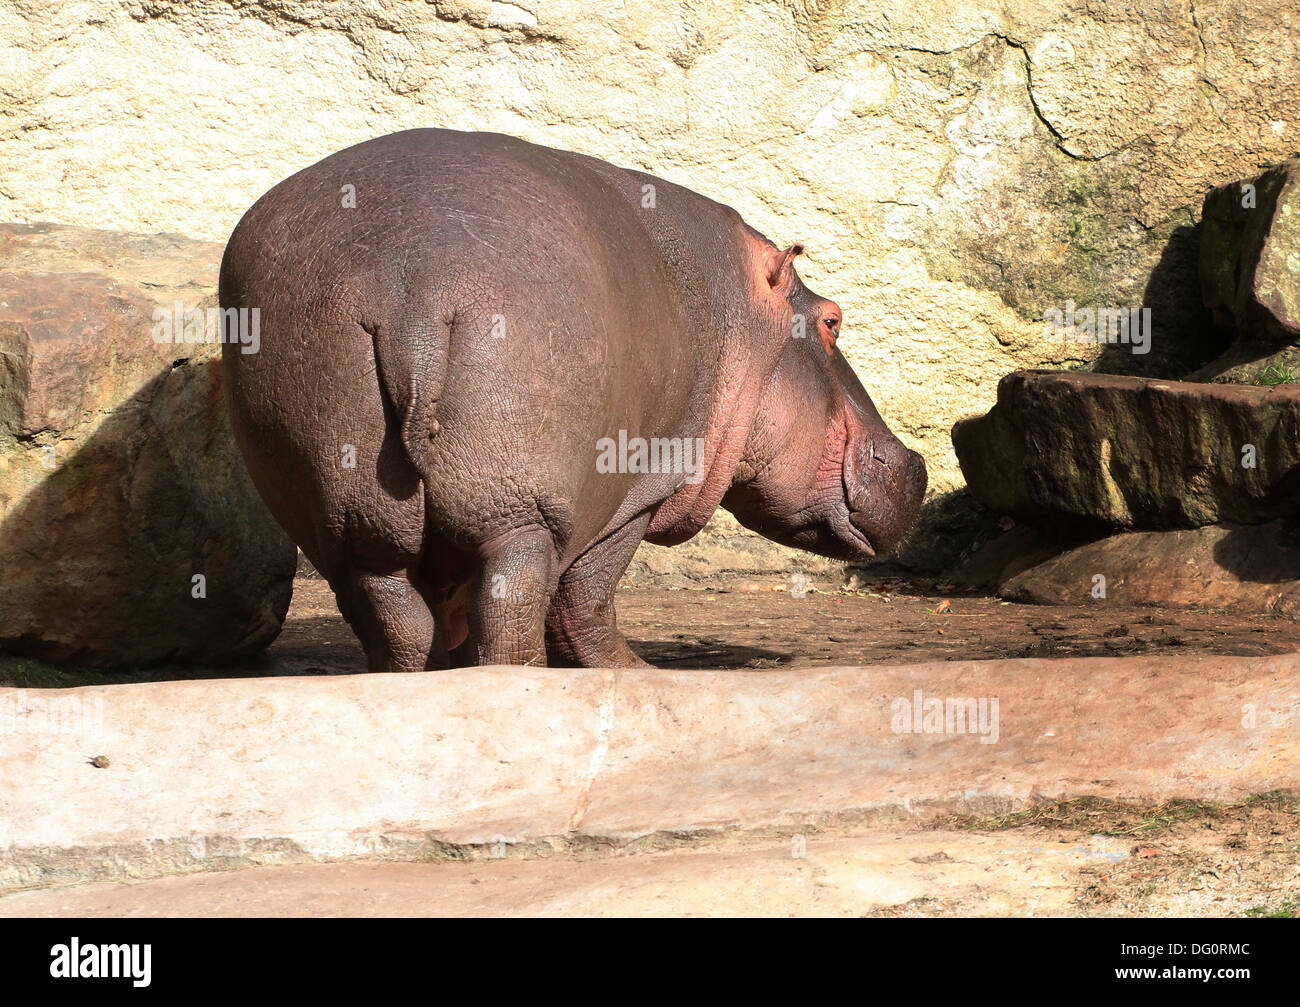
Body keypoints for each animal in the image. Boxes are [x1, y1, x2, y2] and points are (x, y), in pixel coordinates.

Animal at [218, 131, 925, 670]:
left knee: (394, 616)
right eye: (833, 321)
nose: (915, 463)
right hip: (522, 508)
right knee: (513, 600)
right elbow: (586, 595)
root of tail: (407, 284)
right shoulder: (643, 486)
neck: (738, 317)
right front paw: (632, 670)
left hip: (351, 513)